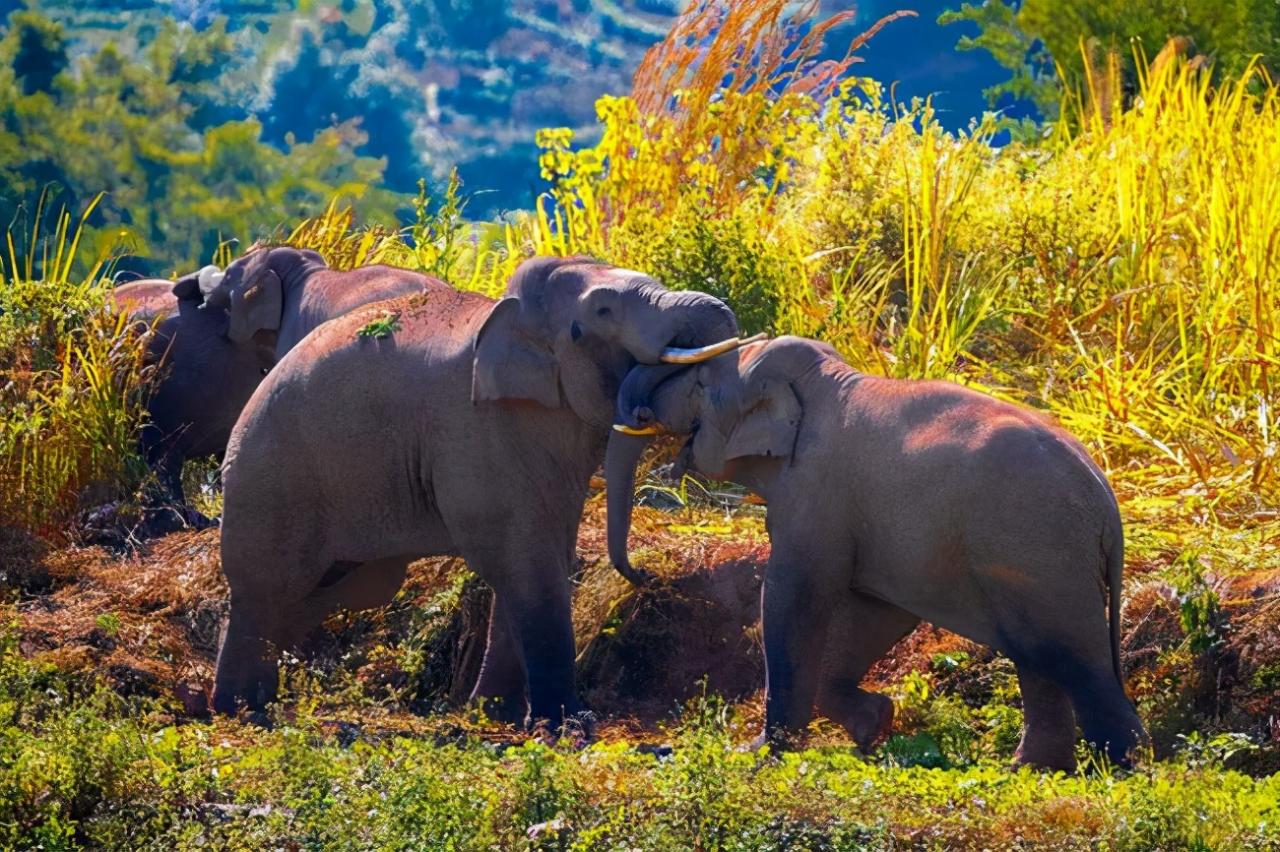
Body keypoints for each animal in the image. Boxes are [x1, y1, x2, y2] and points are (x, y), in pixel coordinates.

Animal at [208, 255, 747, 726]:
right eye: (602, 313)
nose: (644, 578)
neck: (510, 314)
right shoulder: (477, 432)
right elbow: (523, 559)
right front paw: (567, 725)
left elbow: (542, 553)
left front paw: (496, 714)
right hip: (272, 477)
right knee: (267, 586)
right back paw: (240, 708)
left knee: (344, 587)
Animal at [606, 332, 1152, 767]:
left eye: (700, 388)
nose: (645, 578)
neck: (825, 379)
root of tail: (1106, 500)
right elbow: (878, 612)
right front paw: (875, 727)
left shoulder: (815, 492)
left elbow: (790, 599)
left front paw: (764, 754)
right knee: (1038, 655)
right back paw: (1035, 770)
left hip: (1041, 550)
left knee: (1071, 656)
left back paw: (1123, 769)